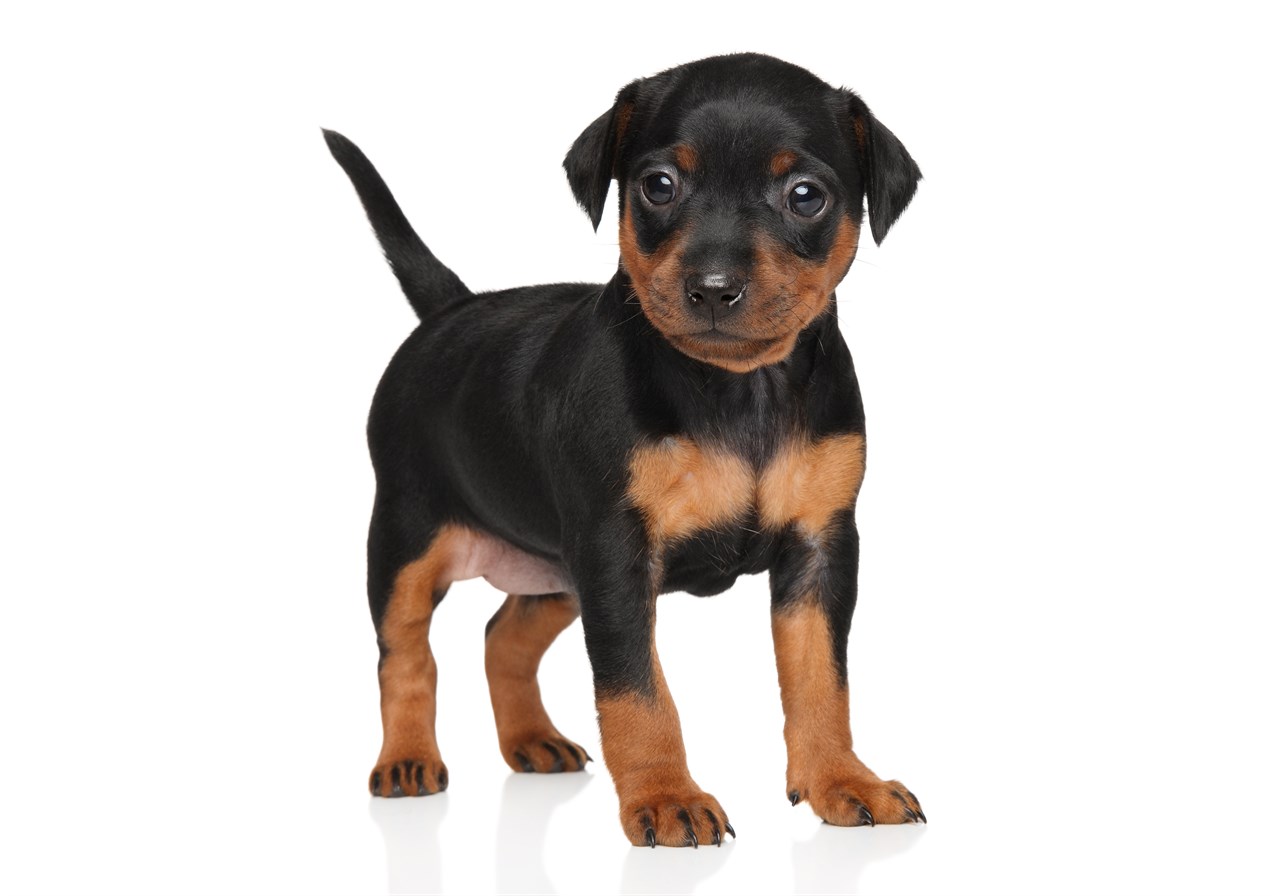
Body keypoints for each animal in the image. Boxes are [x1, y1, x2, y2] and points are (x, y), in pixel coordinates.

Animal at [320, 50, 921, 844]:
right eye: (658, 185)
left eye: (805, 196)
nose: (714, 288)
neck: (738, 389)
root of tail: (452, 310)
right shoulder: (614, 554)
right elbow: (636, 690)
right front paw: (665, 797)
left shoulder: (820, 548)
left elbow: (822, 678)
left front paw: (842, 780)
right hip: (406, 542)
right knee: (405, 655)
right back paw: (407, 759)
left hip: (553, 567)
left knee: (501, 636)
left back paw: (532, 741)